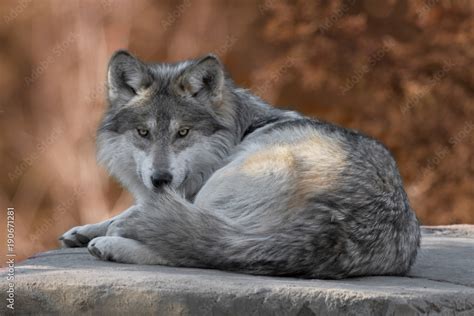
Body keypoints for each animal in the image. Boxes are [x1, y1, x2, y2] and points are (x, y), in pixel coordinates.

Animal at [59, 50, 418, 278]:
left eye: (183, 132)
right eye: (143, 132)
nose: (161, 179)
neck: (239, 129)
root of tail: (334, 227)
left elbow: (135, 214)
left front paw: (107, 229)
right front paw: (81, 230)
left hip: (228, 185)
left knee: (197, 253)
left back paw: (110, 245)